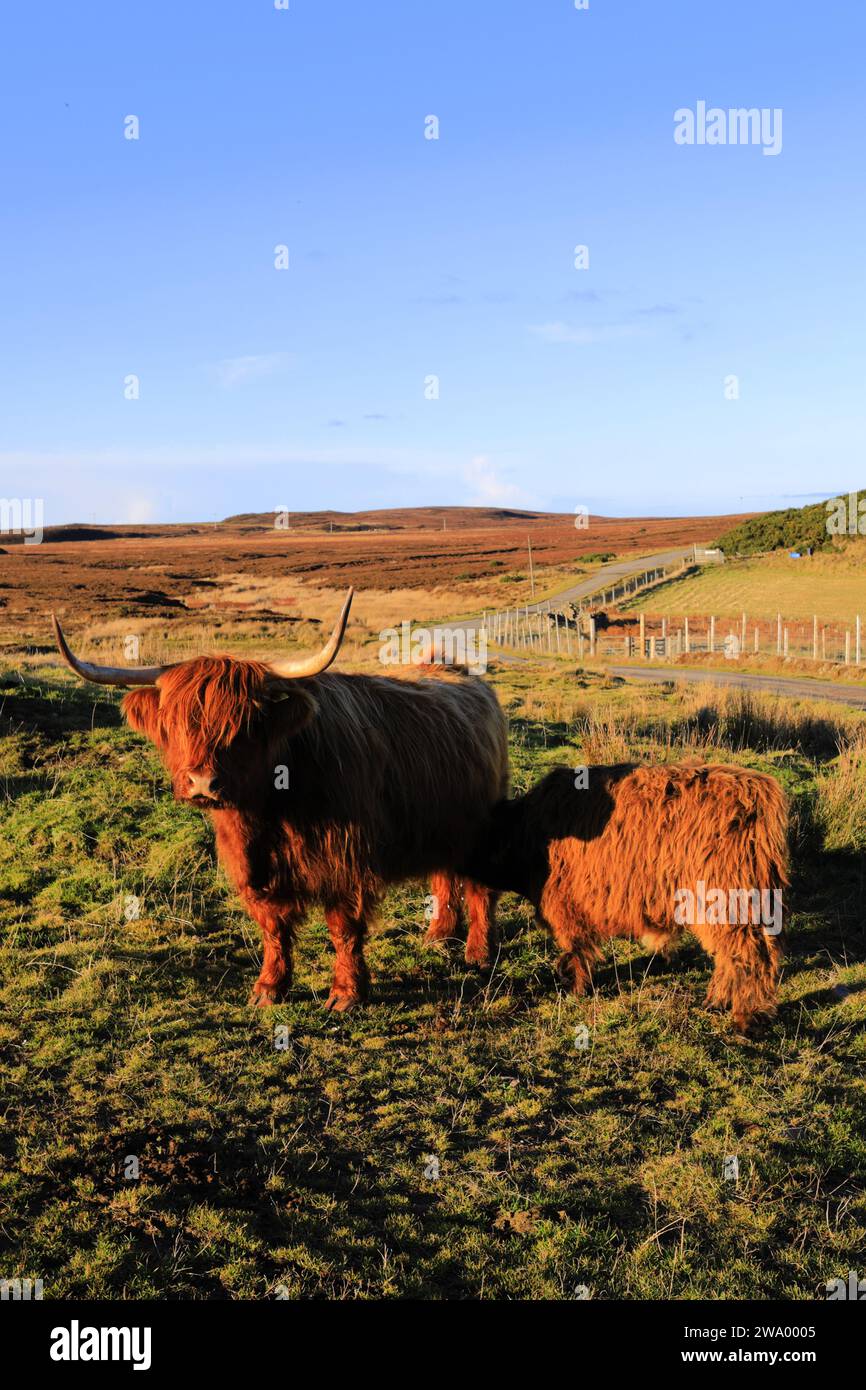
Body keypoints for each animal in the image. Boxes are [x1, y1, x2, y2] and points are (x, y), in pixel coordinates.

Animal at [52, 586, 508, 1011]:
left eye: (245, 724)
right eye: (177, 722)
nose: (202, 783)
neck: (269, 811)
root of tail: (458, 672)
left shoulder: (345, 861)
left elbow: (343, 928)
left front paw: (346, 993)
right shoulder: (251, 868)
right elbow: (272, 927)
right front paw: (269, 988)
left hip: (482, 822)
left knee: (480, 889)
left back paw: (478, 953)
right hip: (442, 822)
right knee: (444, 875)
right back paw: (438, 936)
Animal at [464, 761, 789, 1034]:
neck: (528, 832)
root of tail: (757, 792)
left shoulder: (565, 904)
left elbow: (576, 948)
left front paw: (575, 987)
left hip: (727, 900)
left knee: (749, 954)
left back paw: (746, 1019)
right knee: (732, 955)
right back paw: (716, 1001)